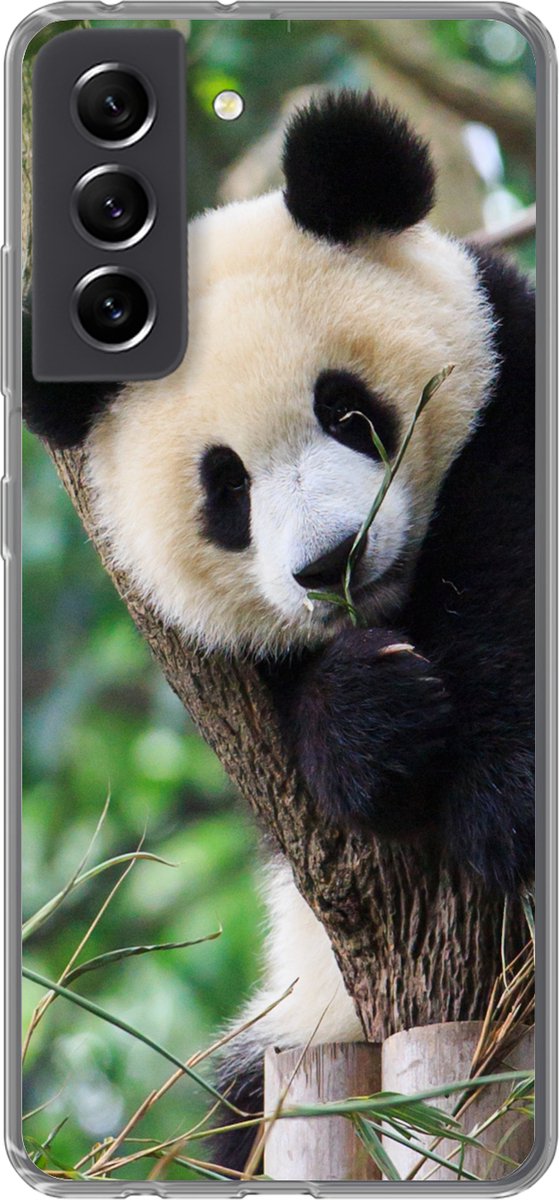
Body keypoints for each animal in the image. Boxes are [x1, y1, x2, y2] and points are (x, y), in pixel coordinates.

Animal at [24, 91, 534, 1171]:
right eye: (226, 488)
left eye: (346, 408)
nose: (332, 561)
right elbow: (285, 754)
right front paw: (370, 716)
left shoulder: (517, 385)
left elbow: (511, 565)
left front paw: (502, 803)